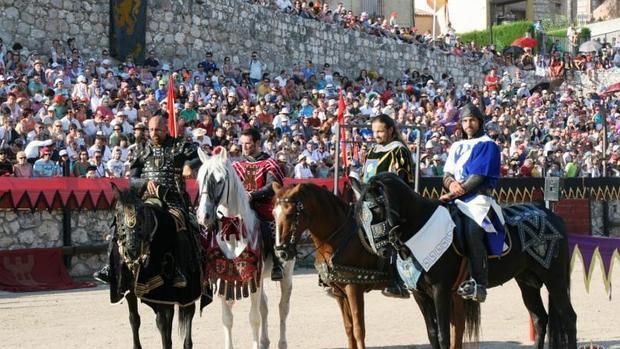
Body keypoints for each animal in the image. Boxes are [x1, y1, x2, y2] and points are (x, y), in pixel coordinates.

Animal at [108, 184, 202, 346]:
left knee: (188, 313)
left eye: (141, 217)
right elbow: (134, 319)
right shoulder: (130, 290)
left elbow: (162, 324)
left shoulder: (160, 291)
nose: (132, 250)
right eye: (118, 215)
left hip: (189, 289)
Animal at [197, 147, 296, 348]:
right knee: (265, 306)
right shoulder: (224, 278)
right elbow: (227, 319)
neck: (233, 234)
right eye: (199, 178)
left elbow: (254, 318)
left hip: (287, 273)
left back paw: (281, 343)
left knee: (283, 308)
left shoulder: (252, 277)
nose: (203, 216)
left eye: (219, 181)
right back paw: (265, 341)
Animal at [354, 173, 576, 348]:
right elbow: (432, 335)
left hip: (554, 278)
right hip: (527, 281)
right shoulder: (420, 294)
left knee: (568, 318)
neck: (419, 227)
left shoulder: (440, 290)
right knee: (539, 319)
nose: (381, 249)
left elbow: (444, 336)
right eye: (361, 216)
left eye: (377, 208)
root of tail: (553, 216)